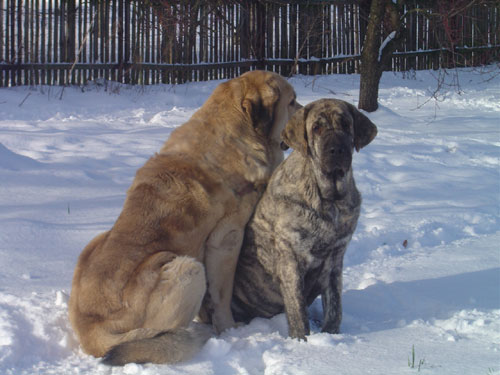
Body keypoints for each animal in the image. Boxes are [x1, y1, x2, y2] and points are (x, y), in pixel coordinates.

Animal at [232, 98, 376, 340]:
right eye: (316, 128)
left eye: (346, 124)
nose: (336, 149)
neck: (330, 200)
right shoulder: (291, 258)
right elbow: (298, 311)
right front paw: (303, 342)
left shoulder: (335, 259)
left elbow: (335, 307)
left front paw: (331, 334)